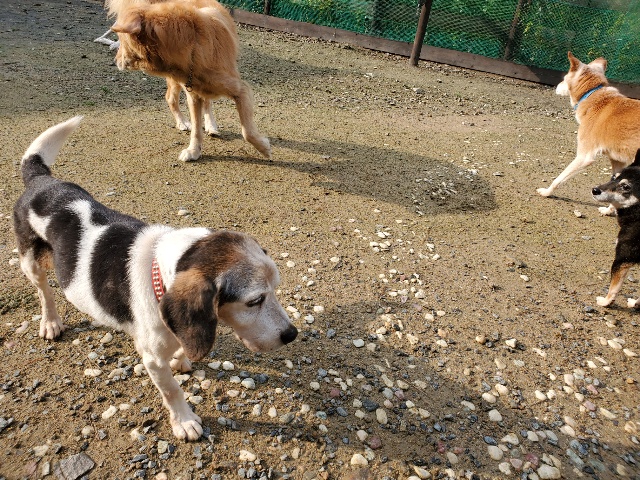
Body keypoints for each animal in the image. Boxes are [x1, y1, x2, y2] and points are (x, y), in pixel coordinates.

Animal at [13, 117, 297, 440]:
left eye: (275, 290)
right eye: (254, 301)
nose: (292, 334)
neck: (161, 273)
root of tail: (41, 181)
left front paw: (181, 359)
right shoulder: (151, 358)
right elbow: (172, 390)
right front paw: (184, 421)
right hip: (30, 262)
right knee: (44, 293)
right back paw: (50, 322)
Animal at [109, 0, 271, 161]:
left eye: (121, 40)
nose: (115, 61)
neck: (192, 46)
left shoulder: (241, 91)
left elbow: (247, 131)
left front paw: (264, 148)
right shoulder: (193, 96)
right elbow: (196, 129)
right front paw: (194, 151)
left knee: (207, 102)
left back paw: (211, 125)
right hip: (177, 83)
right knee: (171, 98)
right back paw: (182, 122)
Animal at [537, 51, 640, 215]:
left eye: (564, 79)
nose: (556, 86)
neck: (592, 95)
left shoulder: (584, 157)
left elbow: (559, 178)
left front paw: (547, 192)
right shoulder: (618, 163)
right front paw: (610, 210)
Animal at [592, 149, 640, 308]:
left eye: (626, 187)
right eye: (614, 177)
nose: (595, 190)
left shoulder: (623, 258)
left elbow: (613, 287)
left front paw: (606, 301)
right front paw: (636, 303)